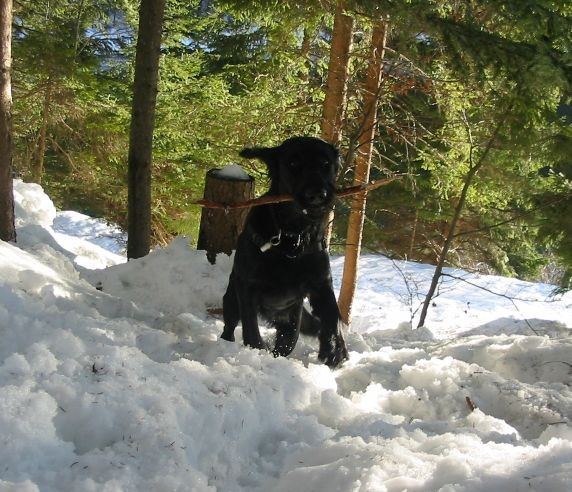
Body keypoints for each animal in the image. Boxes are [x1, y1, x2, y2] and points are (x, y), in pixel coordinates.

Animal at [220, 136, 348, 368]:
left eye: (326, 164)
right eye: (293, 163)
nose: (317, 194)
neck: (293, 235)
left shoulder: (321, 282)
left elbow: (332, 313)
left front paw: (334, 348)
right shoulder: (247, 286)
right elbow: (251, 328)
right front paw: (257, 350)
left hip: (291, 318)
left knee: (288, 342)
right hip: (231, 299)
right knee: (230, 326)